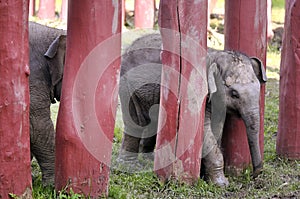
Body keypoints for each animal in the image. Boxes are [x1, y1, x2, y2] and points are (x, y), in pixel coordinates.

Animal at [118, 33, 266, 187]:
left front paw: (206, 176)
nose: (254, 175)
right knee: (135, 124)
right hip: (127, 86)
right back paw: (129, 165)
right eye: (234, 94)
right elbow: (204, 131)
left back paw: (149, 160)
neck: (216, 55)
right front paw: (221, 184)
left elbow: (217, 130)